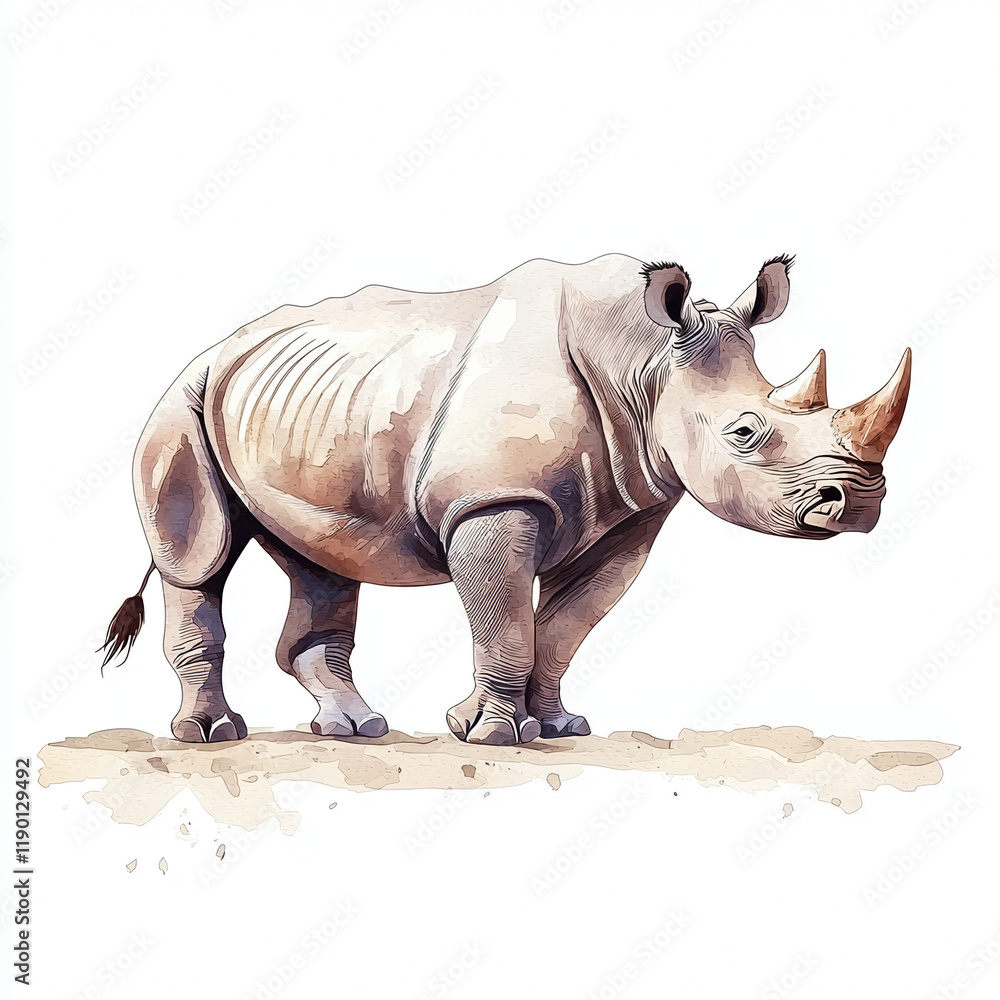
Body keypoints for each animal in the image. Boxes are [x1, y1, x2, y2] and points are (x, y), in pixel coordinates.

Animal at [102, 254, 910, 746]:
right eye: (746, 431)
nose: (860, 503)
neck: (644, 364)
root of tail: (221, 346)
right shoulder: (493, 503)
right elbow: (507, 624)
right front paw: (494, 734)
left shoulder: (629, 515)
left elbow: (563, 627)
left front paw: (554, 727)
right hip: (182, 400)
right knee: (198, 558)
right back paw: (212, 734)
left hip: (303, 411)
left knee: (321, 559)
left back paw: (355, 729)